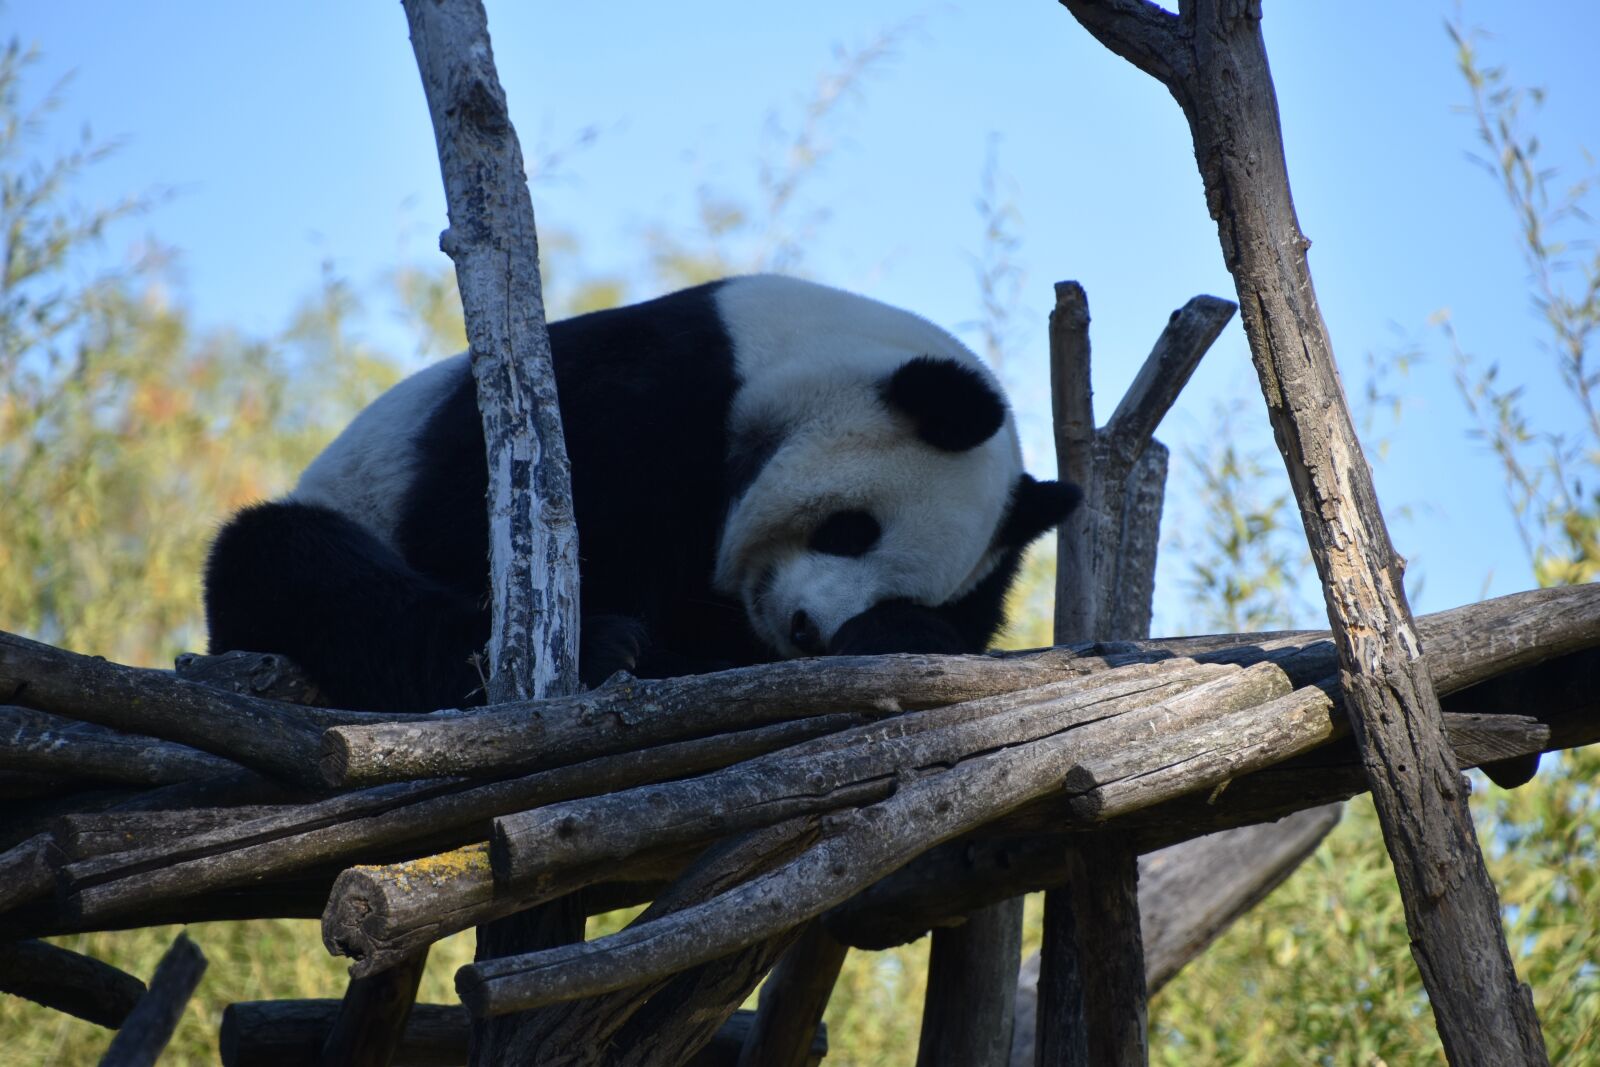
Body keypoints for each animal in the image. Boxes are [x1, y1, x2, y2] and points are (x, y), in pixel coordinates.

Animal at [203, 275, 1081, 712]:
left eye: (895, 585)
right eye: (850, 528)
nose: (805, 628)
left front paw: (892, 632)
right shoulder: (645, 393)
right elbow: (486, 533)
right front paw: (621, 641)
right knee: (291, 561)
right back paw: (606, 646)